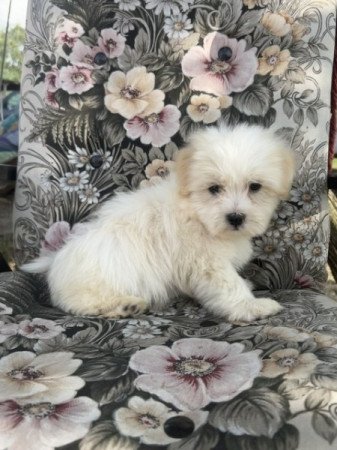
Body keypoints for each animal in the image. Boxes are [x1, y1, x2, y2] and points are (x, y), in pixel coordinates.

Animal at [21, 123, 294, 320]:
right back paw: (125, 305)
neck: (197, 212)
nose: (236, 217)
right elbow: (229, 286)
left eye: (255, 187)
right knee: (84, 305)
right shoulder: (207, 263)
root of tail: (56, 261)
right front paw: (252, 306)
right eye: (214, 188)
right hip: (95, 284)